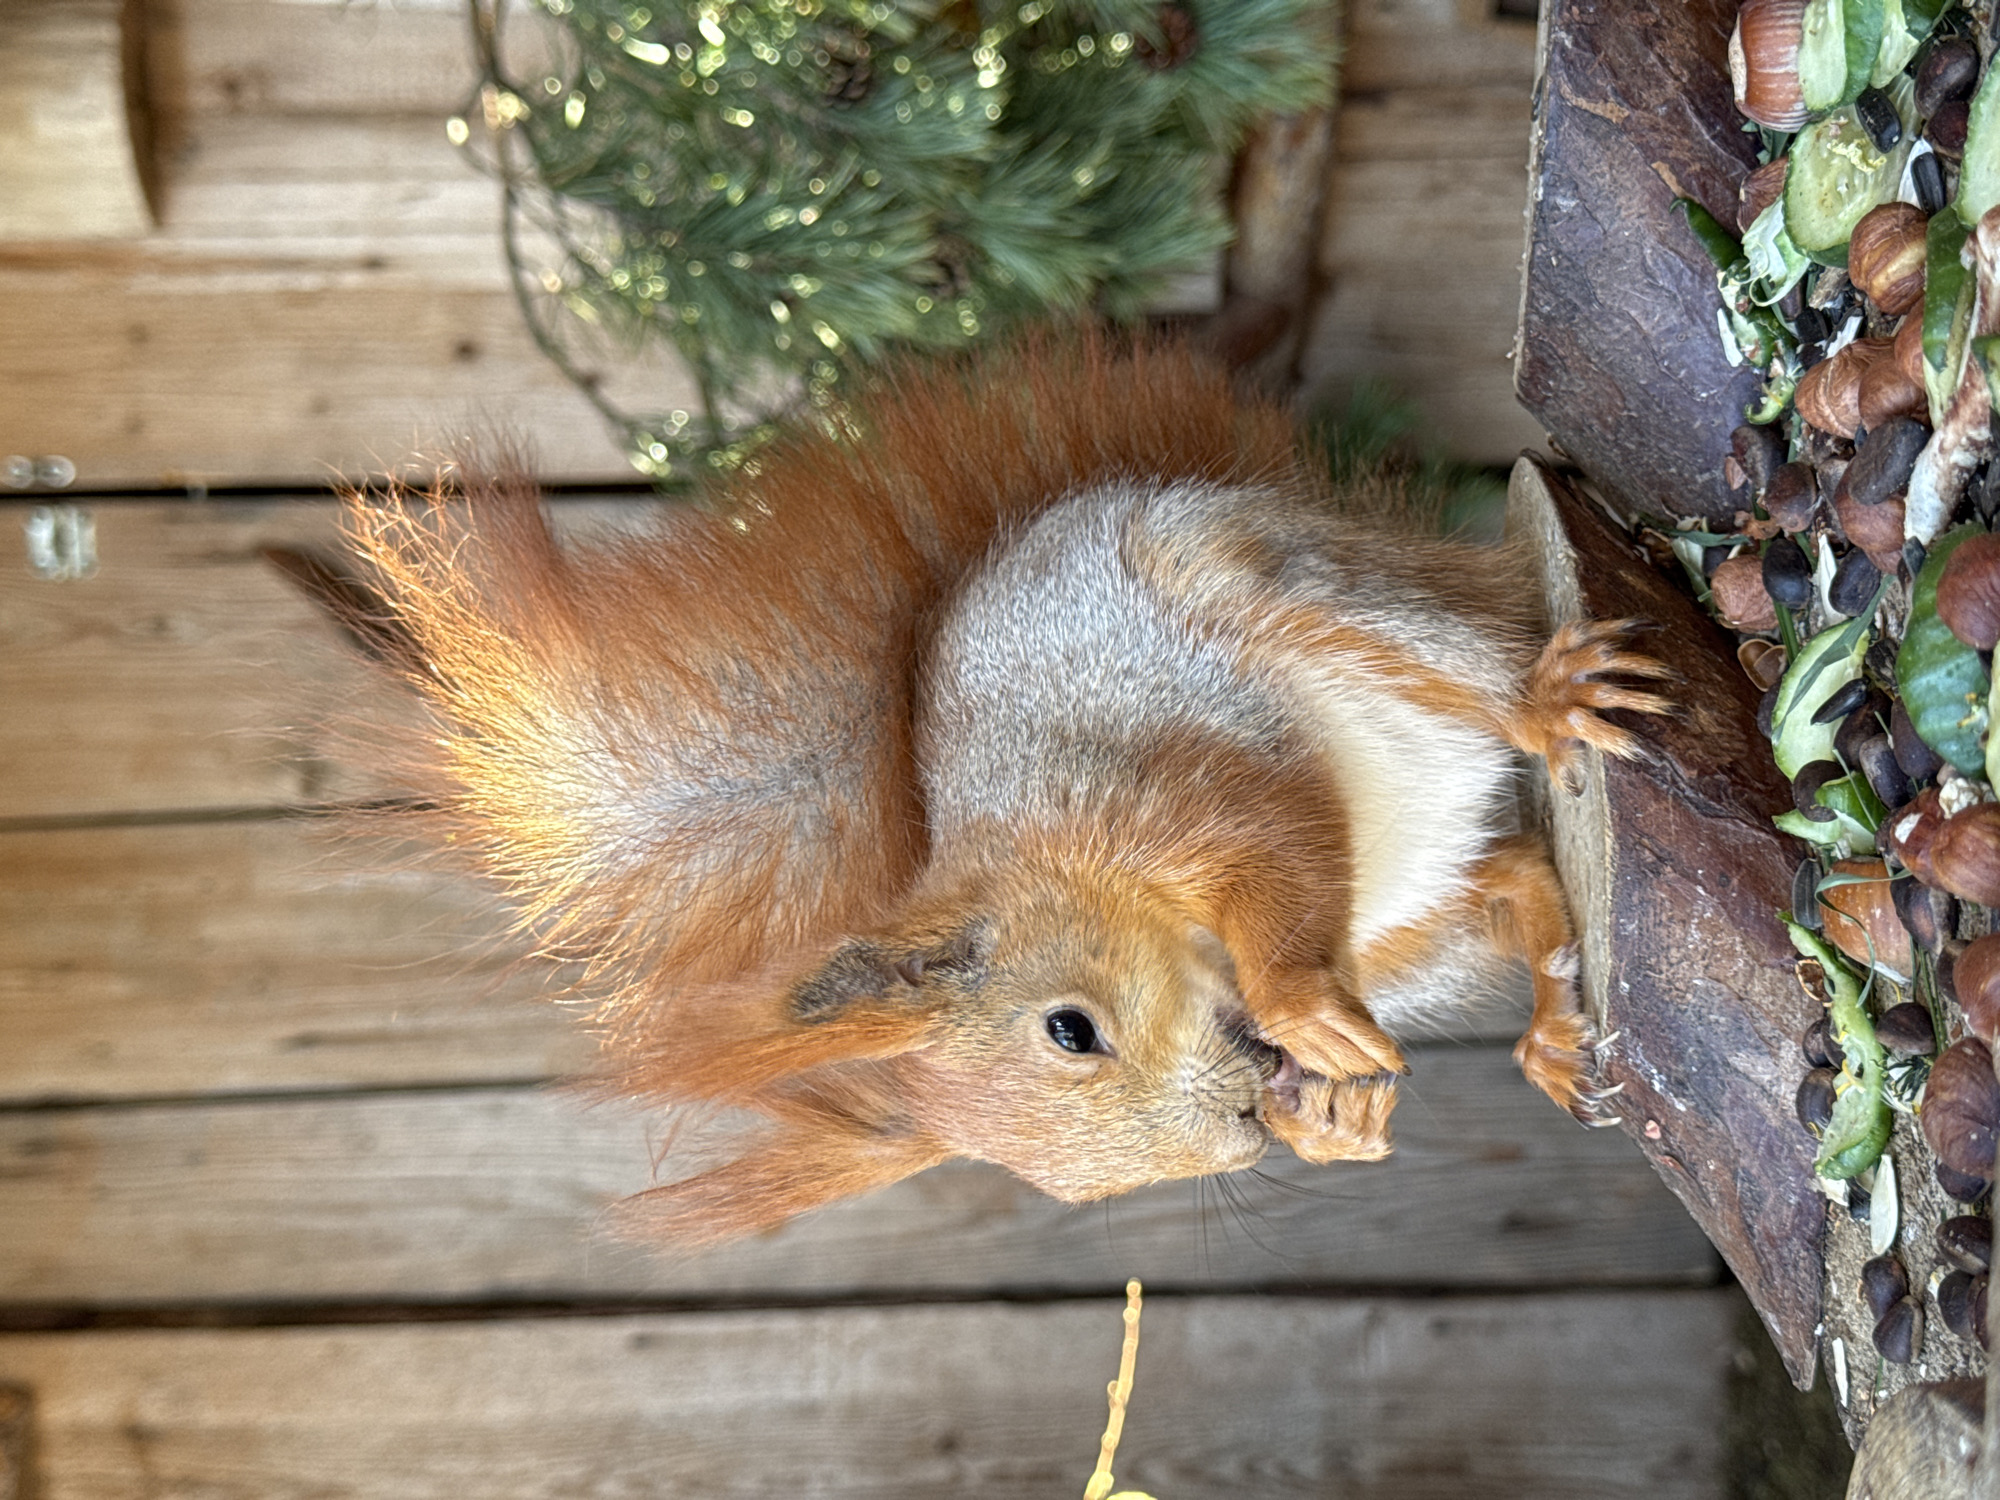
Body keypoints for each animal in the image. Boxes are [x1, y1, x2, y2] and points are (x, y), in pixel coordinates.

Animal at [337, 331, 1671, 1244]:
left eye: (1068, 1029)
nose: (1247, 1110)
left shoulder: (1170, 787)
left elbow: (1274, 854)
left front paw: (1300, 1012)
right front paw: (1331, 1119)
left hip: (1286, 592)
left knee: (1467, 670)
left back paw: (1544, 705)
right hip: (1414, 919)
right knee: (1516, 878)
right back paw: (1551, 1031)